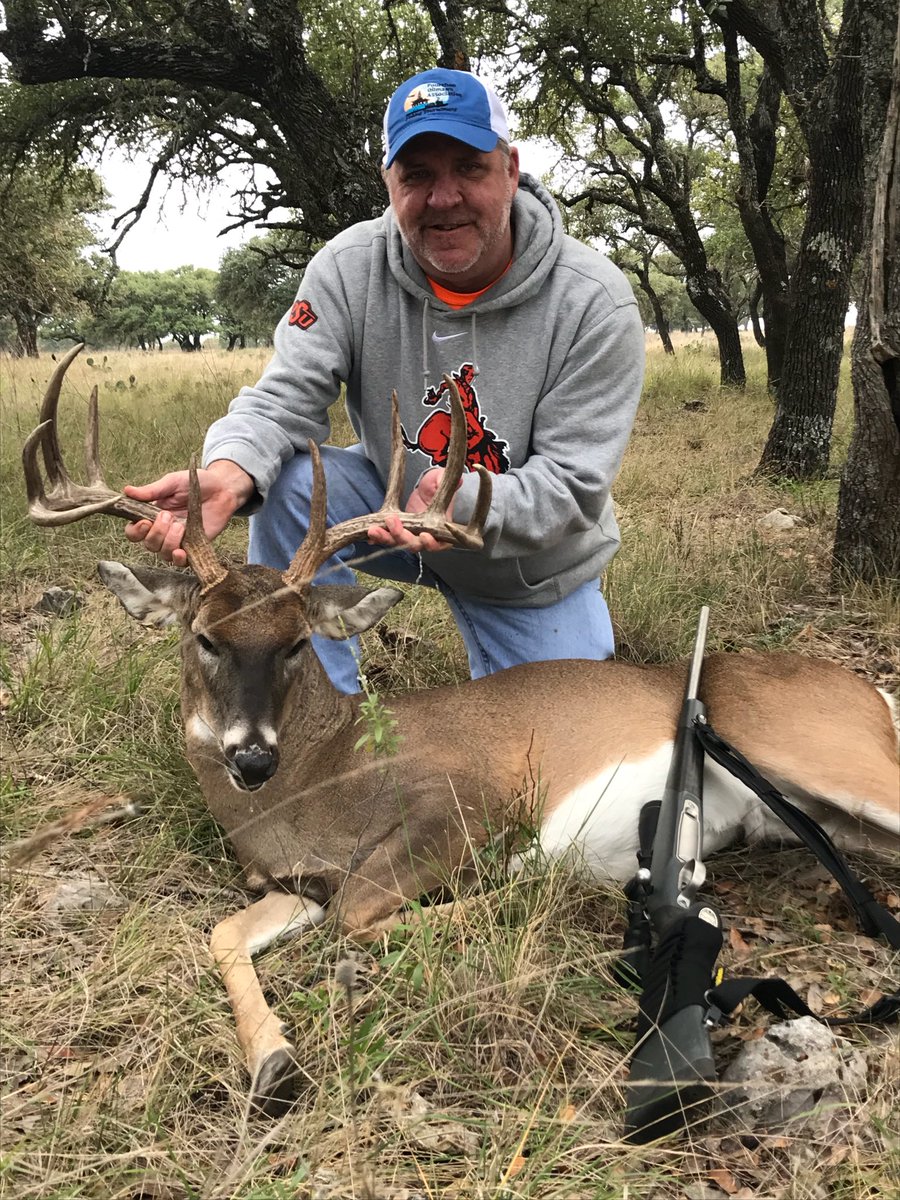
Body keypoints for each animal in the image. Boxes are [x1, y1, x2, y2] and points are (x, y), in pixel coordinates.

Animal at [23, 344, 900, 1115]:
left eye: (297, 642)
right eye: (204, 635)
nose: (251, 756)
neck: (316, 782)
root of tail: (870, 694)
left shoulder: (466, 798)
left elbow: (362, 918)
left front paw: (516, 900)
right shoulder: (291, 883)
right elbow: (222, 934)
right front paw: (273, 1062)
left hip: (821, 752)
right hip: (822, 814)